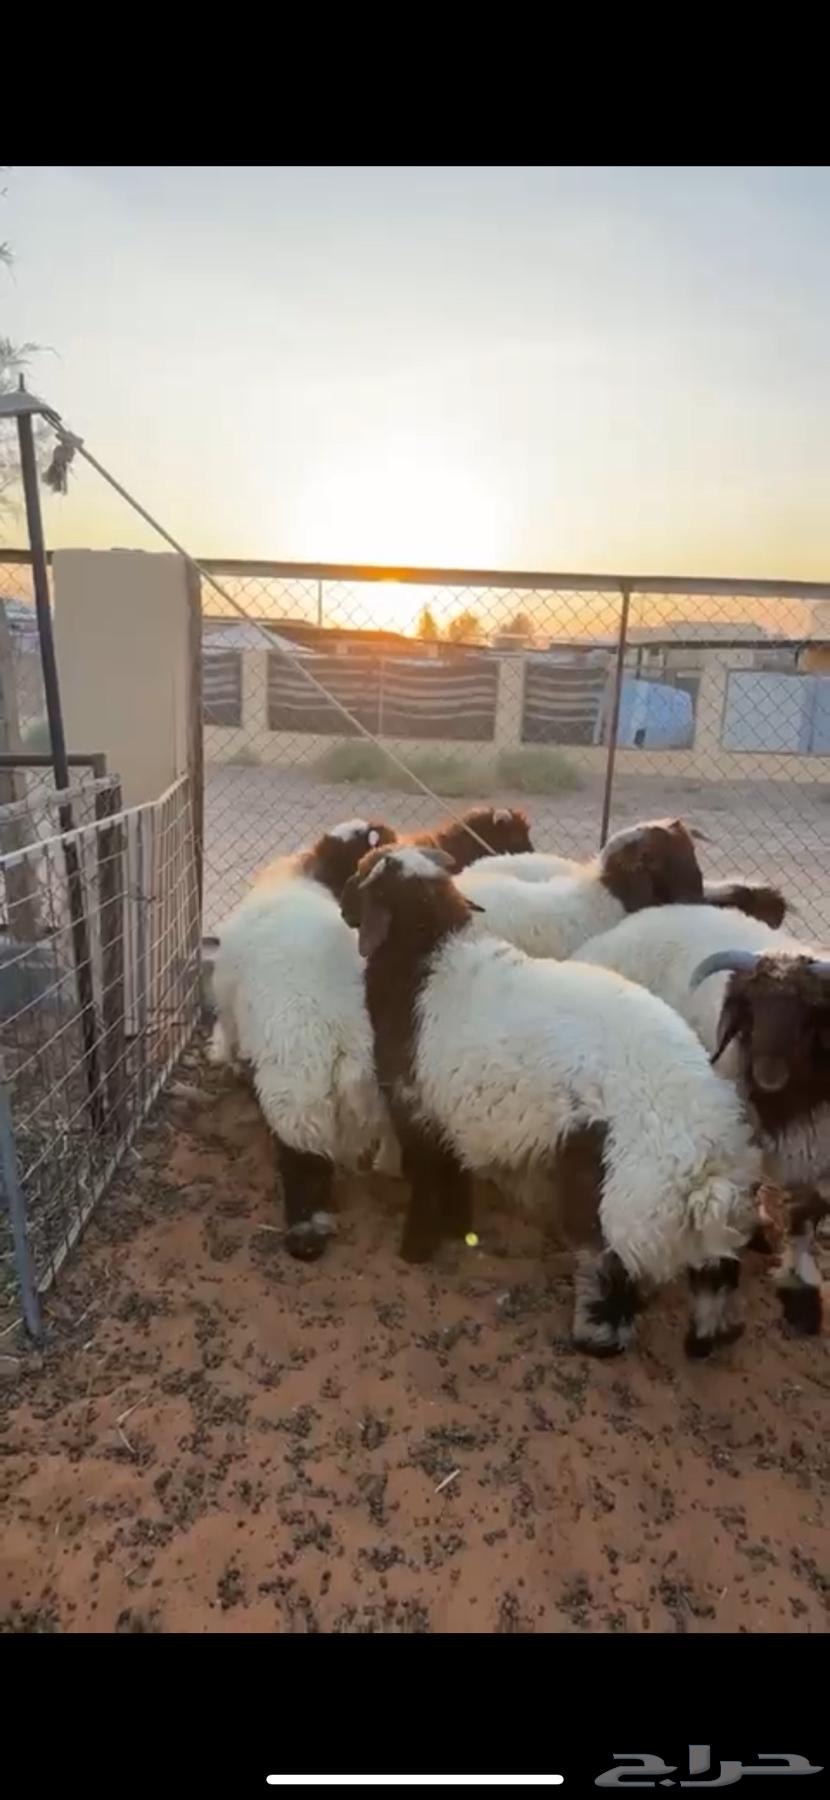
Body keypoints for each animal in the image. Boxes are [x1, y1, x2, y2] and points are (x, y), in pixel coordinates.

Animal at [208, 817, 398, 1260]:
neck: (302, 876)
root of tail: (344, 1047)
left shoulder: (227, 998)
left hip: (297, 1096)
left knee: (305, 1160)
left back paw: (306, 1233)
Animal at [341, 845, 764, 1359]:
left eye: (361, 874)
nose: (342, 909)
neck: (428, 966)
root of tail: (707, 1164)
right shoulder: (451, 1115)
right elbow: (456, 1180)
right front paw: (457, 1230)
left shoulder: (414, 1107)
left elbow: (427, 1183)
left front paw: (415, 1251)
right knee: (717, 1269)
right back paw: (710, 1338)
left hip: (613, 1189)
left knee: (610, 1270)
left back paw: (594, 1340)